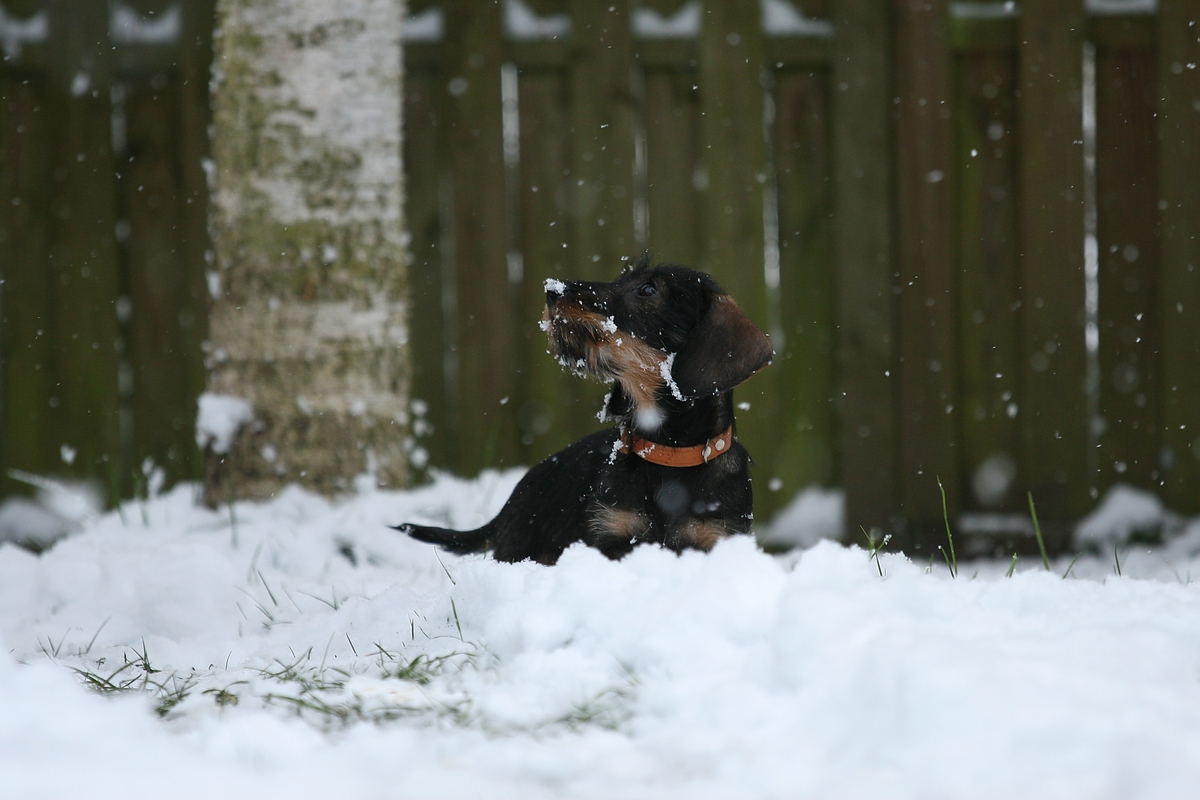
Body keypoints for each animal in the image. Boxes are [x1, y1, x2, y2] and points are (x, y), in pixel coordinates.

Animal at [393, 256, 768, 563]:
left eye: (648, 289)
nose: (551, 289)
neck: (668, 455)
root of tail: (508, 506)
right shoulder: (610, 536)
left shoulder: (715, 539)